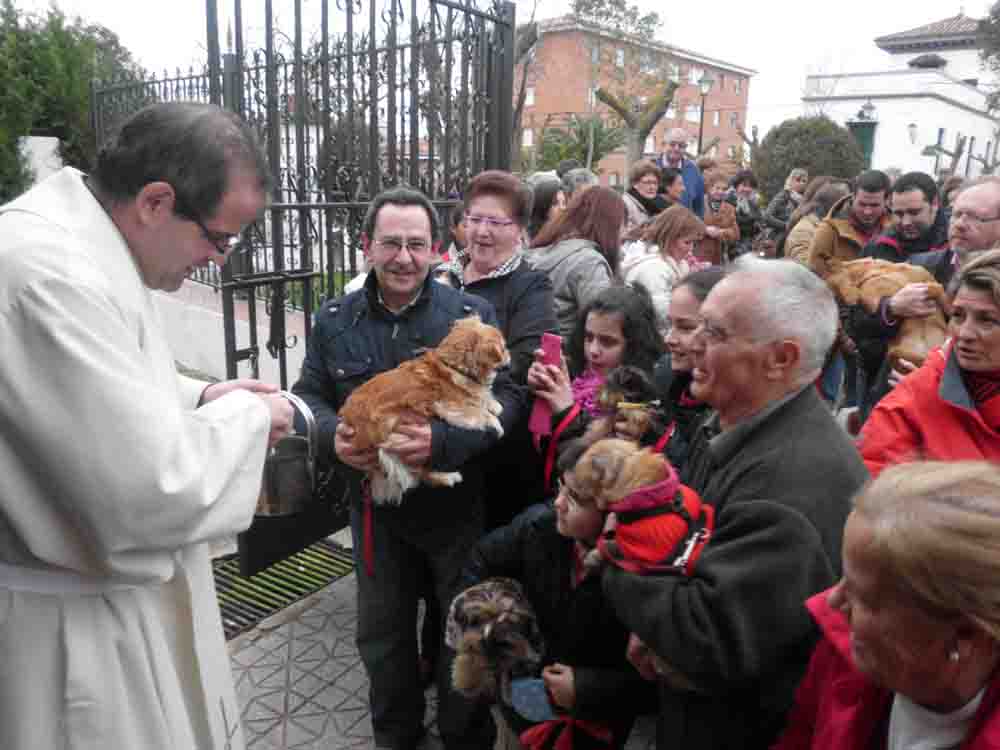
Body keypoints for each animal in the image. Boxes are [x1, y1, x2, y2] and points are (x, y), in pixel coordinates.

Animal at [338, 318, 508, 506]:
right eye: (503, 348)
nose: (508, 357)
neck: (453, 366)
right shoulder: (451, 407)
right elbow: (479, 412)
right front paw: (496, 423)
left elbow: (482, 399)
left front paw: (493, 404)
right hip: (396, 435)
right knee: (420, 473)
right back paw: (447, 476)